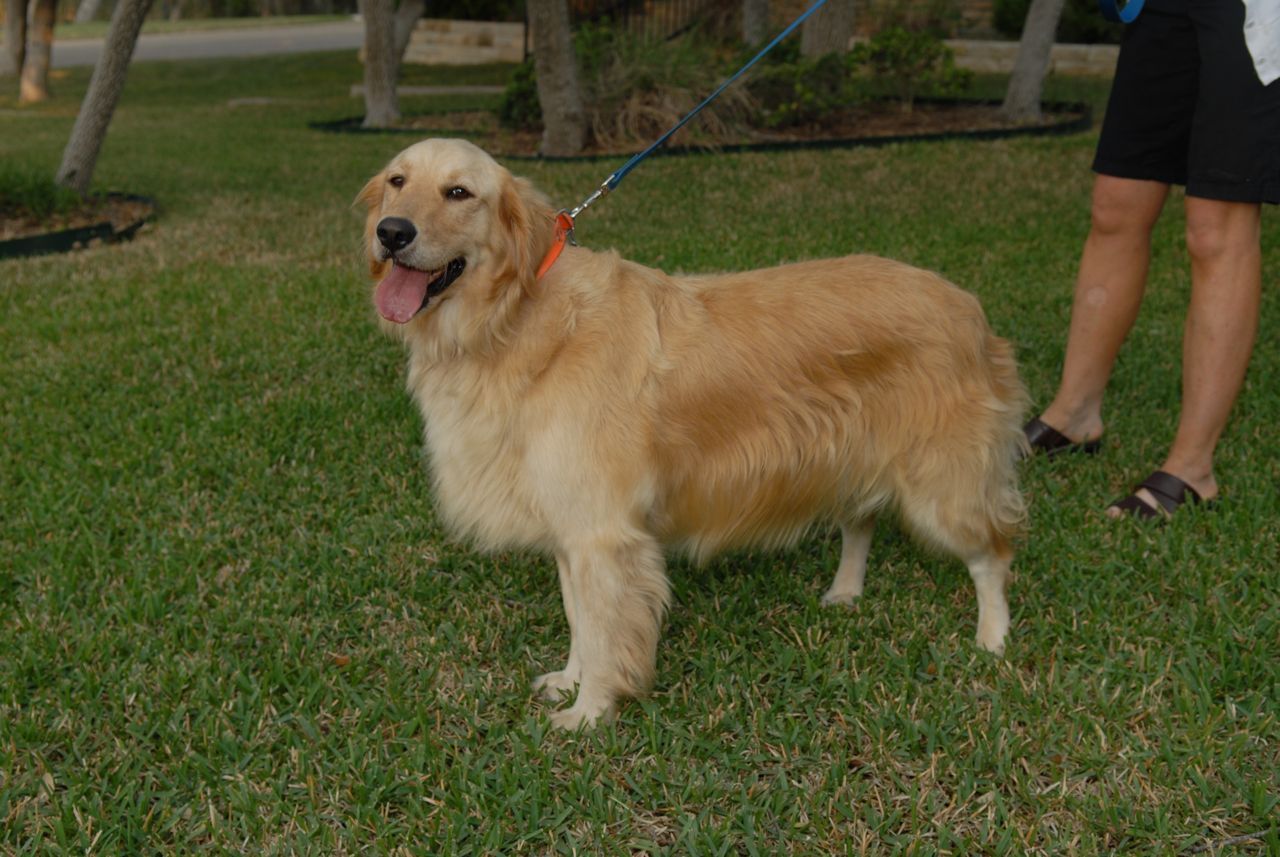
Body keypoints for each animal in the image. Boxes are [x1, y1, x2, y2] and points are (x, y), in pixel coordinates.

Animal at [357, 138, 1028, 730]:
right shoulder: (575, 528)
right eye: (397, 180)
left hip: (943, 486)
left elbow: (604, 630)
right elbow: (581, 621)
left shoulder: (604, 534)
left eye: (459, 192)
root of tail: (968, 307)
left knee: (993, 554)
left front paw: (589, 713)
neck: (517, 315)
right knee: (860, 520)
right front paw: (571, 683)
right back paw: (845, 591)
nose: (392, 232)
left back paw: (993, 638)